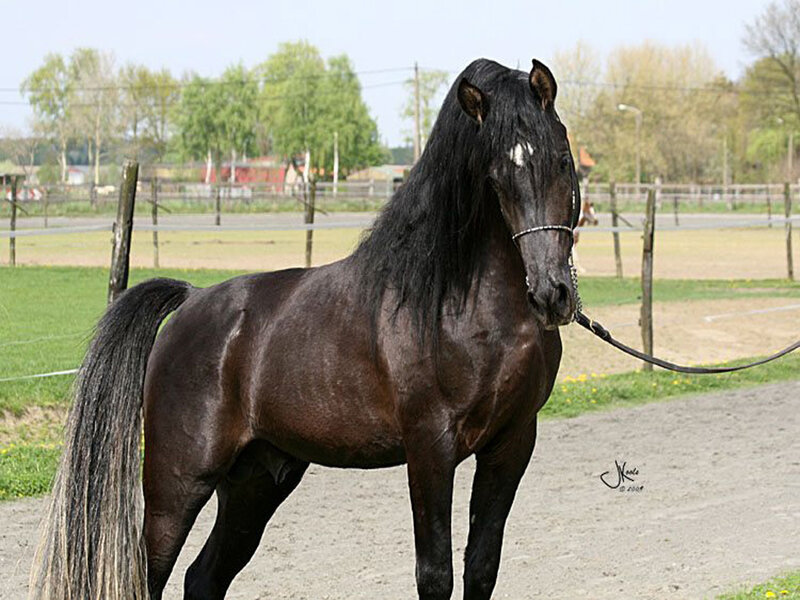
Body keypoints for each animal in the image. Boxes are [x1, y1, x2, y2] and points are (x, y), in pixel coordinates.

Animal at [31, 57, 579, 600]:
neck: (464, 308)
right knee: (155, 574)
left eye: (562, 161)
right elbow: (436, 575)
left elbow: (481, 568)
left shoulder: (511, 444)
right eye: (496, 175)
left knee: (203, 578)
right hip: (177, 484)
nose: (551, 293)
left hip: (256, 482)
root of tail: (190, 301)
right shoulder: (430, 448)